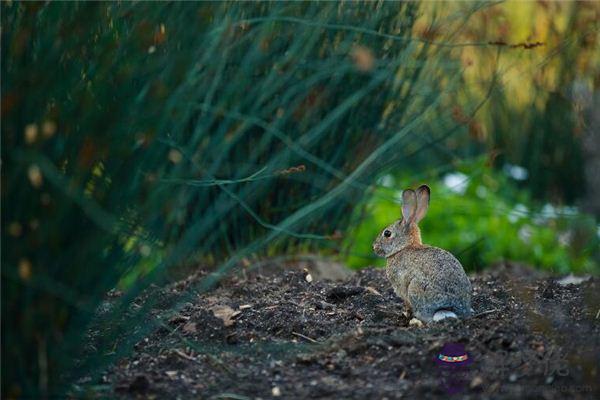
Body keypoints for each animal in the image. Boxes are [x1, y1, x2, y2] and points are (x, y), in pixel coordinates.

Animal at [370, 186, 474, 324]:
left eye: (387, 233)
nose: (374, 247)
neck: (404, 247)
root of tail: (451, 307)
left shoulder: (402, 288)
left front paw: (406, 314)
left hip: (415, 288)